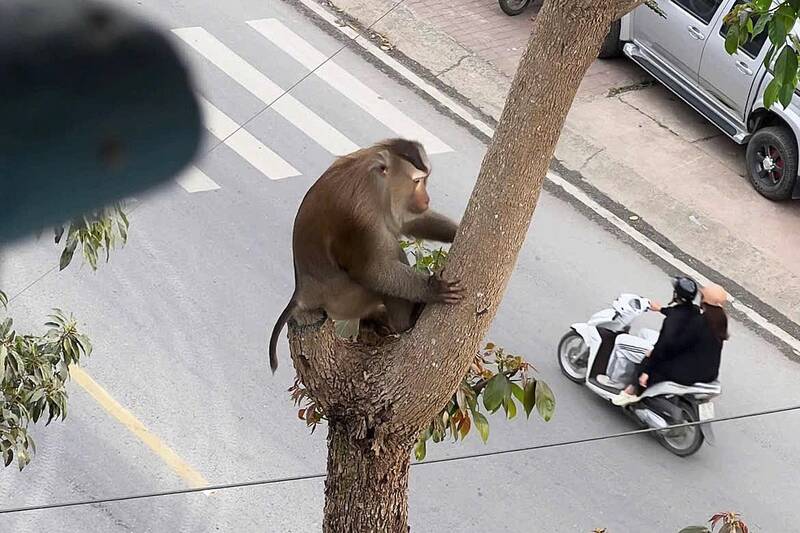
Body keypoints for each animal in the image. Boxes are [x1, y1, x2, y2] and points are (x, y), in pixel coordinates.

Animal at [268, 138, 463, 373]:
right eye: (417, 181)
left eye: (426, 179)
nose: (426, 199)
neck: (375, 184)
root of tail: (303, 294)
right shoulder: (360, 217)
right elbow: (371, 271)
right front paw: (433, 288)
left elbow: (408, 222)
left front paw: (456, 231)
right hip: (345, 300)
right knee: (388, 254)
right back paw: (405, 322)